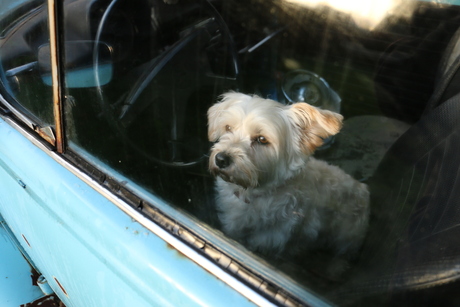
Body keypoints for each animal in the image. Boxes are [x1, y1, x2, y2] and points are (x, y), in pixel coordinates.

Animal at [208, 93, 370, 260]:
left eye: (262, 139)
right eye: (228, 128)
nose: (221, 159)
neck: (252, 194)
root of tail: (363, 190)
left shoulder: (271, 240)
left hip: (346, 241)